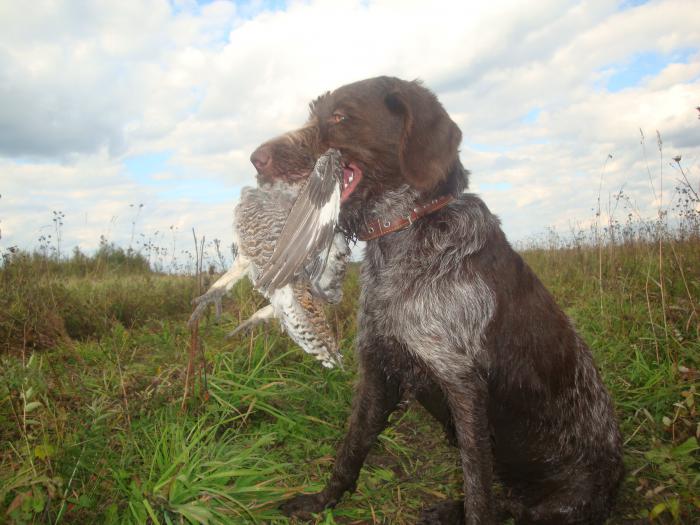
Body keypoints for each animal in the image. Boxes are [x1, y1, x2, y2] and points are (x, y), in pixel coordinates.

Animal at [249, 75, 620, 520]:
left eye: (339, 117)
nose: (255, 159)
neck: (405, 235)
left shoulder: (463, 386)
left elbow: (478, 492)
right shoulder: (378, 369)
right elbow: (351, 448)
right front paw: (322, 502)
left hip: (566, 499)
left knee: (516, 509)